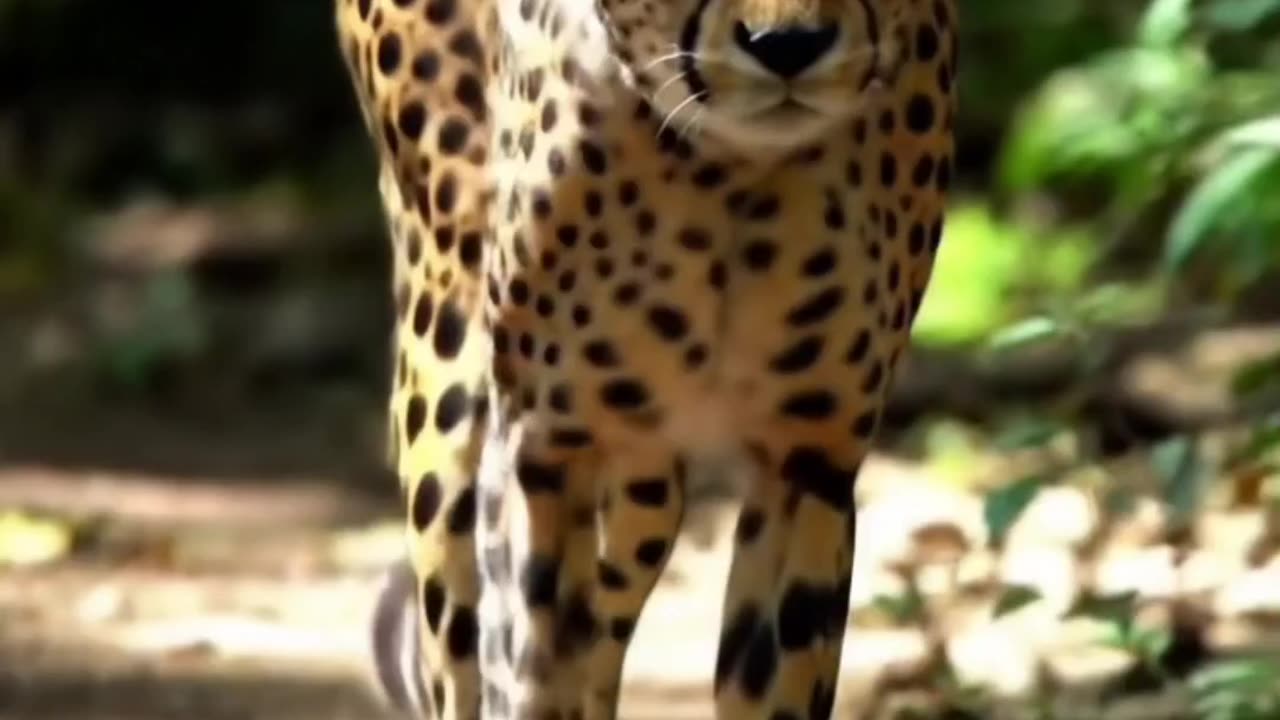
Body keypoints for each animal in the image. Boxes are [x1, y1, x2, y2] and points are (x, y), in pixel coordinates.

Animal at [335, 0, 957, 716]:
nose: (788, 47)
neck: (729, 167)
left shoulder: (808, 459)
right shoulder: (544, 449)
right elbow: (533, 666)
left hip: (645, 476)